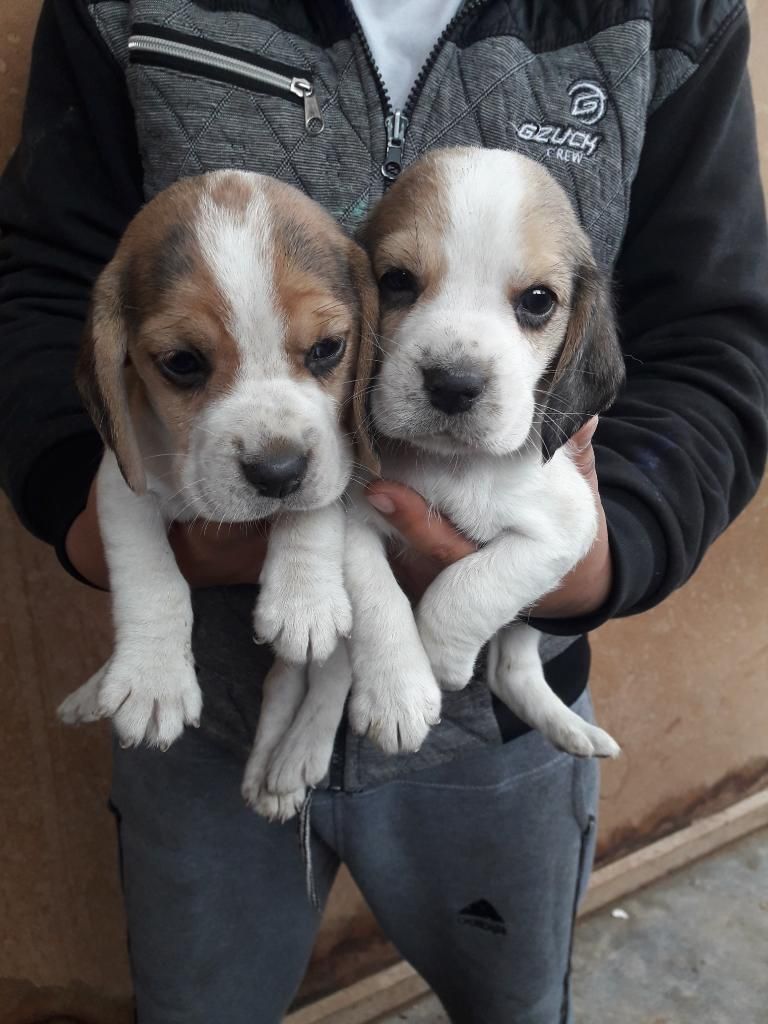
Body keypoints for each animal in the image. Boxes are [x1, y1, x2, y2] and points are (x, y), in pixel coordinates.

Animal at [57, 169, 376, 753]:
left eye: (328, 349)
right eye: (182, 363)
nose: (277, 473)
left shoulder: (338, 457)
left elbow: (315, 502)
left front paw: (302, 598)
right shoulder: (123, 480)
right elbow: (150, 573)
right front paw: (152, 680)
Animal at [249, 148, 626, 823]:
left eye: (538, 300)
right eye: (397, 280)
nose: (453, 384)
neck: (454, 467)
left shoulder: (565, 531)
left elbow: (469, 587)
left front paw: (441, 656)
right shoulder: (356, 513)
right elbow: (379, 600)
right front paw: (399, 693)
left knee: (510, 667)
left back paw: (569, 729)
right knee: (318, 680)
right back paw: (294, 759)